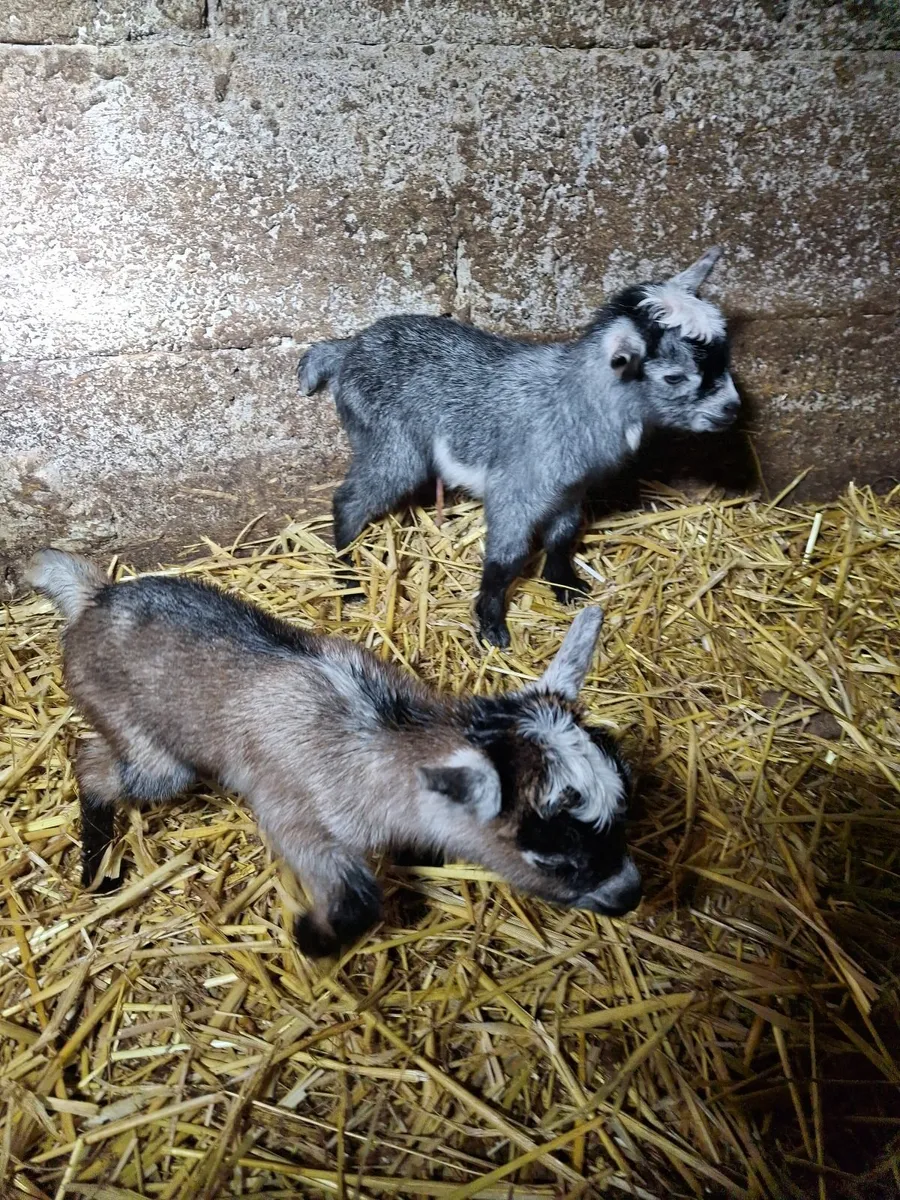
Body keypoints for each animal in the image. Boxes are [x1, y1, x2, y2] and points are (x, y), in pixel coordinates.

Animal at [27, 550, 642, 958]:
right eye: (557, 860)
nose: (631, 895)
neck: (379, 741)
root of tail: (94, 598)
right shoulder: (295, 816)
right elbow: (358, 899)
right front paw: (310, 937)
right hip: (150, 751)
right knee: (93, 765)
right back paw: (96, 871)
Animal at [299, 247, 739, 648]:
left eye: (725, 354)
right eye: (674, 376)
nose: (732, 409)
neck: (572, 399)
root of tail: (347, 348)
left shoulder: (570, 488)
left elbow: (563, 535)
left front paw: (566, 586)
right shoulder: (516, 489)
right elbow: (506, 558)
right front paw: (492, 626)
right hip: (389, 441)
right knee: (350, 500)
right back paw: (347, 579)